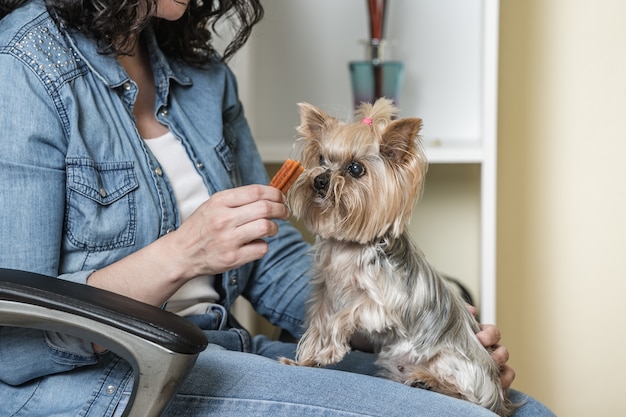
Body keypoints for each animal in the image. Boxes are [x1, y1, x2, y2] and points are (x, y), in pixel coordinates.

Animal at [280, 99, 516, 414]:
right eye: (321, 157)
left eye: (355, 168)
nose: (319, 179)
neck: (347, 247)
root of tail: (500, 396)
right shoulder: (323, 293)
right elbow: (318, 325)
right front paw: (306, 360)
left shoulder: (382, 304)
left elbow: (342, 317)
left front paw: (329, 351)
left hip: (453, 363)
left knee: (469, 396)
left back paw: (429, 381)